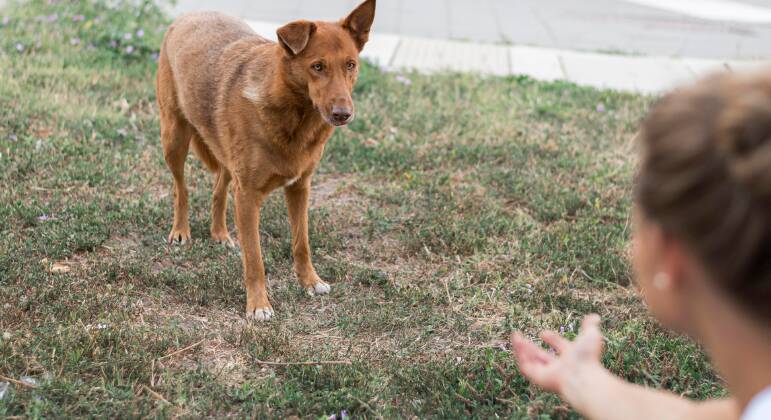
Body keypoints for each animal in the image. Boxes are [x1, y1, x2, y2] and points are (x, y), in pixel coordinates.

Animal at [158, 0, 376, 322]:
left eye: (350, 64)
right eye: (317, 66)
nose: (342, 114)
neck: (296, 116)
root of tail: (190, 14)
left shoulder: (300, 188)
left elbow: (301, 243)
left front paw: (310, 282)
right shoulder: (248, 197)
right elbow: (255, 259)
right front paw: (258, 305)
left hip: (224, 155)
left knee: (219, 187)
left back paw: (220, 233)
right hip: (173, 138)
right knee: (180, 187)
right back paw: (181, 231)